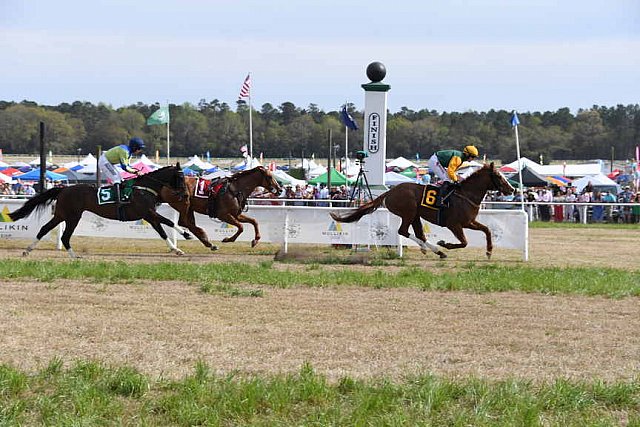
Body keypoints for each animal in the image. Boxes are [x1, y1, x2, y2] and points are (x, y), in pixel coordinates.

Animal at [9, 164, 190, 258]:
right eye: (181, 178)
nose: (186, 194)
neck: (144, 188)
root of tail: (63, 189)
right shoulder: (148, 213)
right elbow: (167, 224)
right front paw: (182, 241)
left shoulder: (150, 215)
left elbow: (164, 228)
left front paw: (181, 241)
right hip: (72, 216)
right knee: (65, 236)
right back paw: (74, 256)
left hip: (61, 215)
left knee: (45, 229)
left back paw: (27, 250)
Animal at [330, 162, 516, 260]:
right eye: (498, 176)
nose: (512, 189)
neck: (465, 195)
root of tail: (390, 192)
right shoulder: (454, 224)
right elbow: (464, 242)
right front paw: (444, 243)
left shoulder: (469, 222)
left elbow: (487, 230)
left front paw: (489, 251)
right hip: (409, 212)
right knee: (403, 231)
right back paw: (437, 249)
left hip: (415, 215)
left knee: (419, 234)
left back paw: (432, 249)